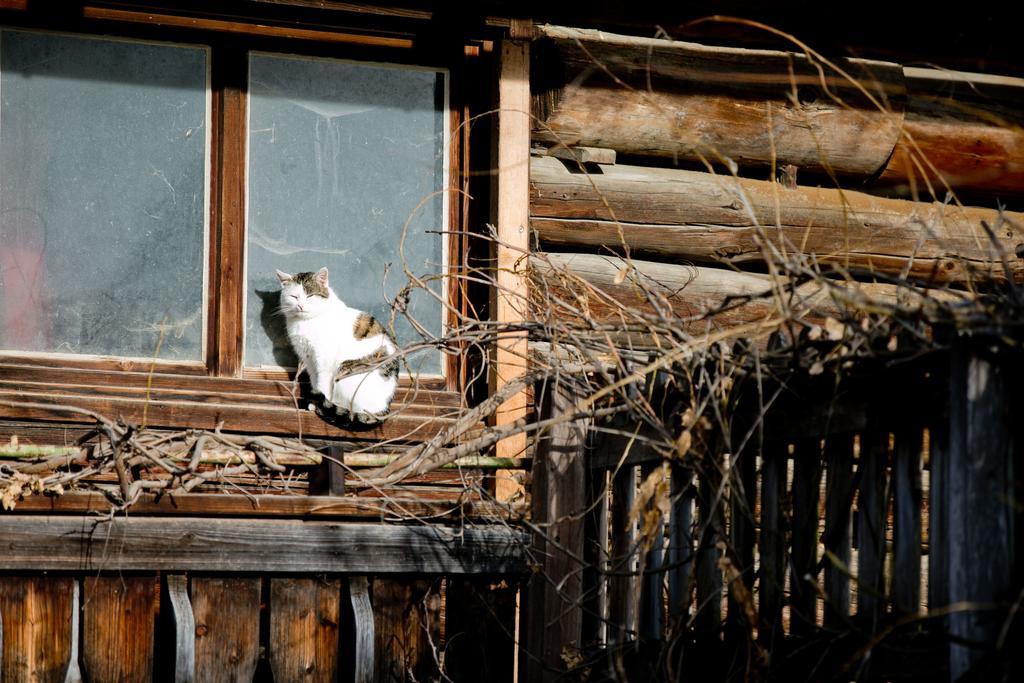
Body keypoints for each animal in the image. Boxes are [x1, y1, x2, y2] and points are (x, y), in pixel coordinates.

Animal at [276, 266, 399, 421]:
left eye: (310, 296)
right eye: (294, 297)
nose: (300, 306)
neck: (305, 322)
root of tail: (385, 408)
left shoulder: (324, 360)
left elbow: (322, 384)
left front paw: (319, 404)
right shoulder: (309, 359)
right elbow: (315, 381)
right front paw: (315, 402)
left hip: (345, 371)